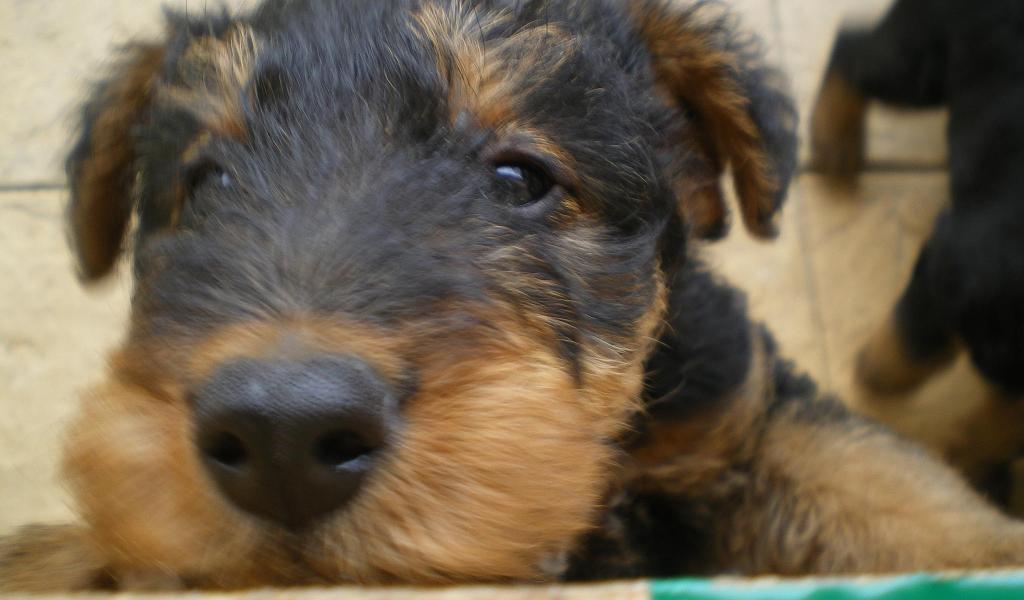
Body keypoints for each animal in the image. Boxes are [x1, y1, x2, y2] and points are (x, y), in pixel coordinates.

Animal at [811, 0, 1024, 498]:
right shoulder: (955, 265)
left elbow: (1004, 424)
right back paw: (833, 143)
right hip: (925, 61)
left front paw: (977, 468)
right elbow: (916, 342)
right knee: (852, 48)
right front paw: (873, 374)